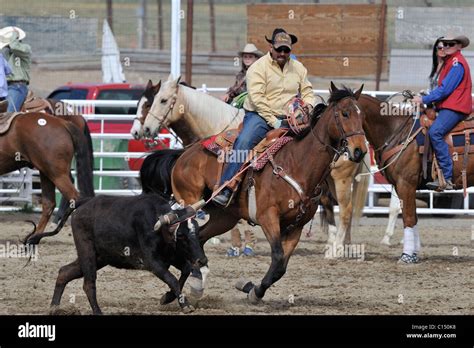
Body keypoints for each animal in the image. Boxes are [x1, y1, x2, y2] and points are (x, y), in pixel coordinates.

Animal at [0, 112, 95, 245]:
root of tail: (63, 123)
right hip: (46, 172)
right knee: (49, 204)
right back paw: (34, 239)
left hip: (56, 173)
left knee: (75, 198)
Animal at [141, 83, 366, 302]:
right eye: (345, 113)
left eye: (361, 115)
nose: (360, 151)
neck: (297, 163)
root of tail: (184, 154)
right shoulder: (268, 217)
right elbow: (277, 257)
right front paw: (253, 290)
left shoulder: (296, 227)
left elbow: (280, 267)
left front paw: (251, 288)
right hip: (189, 201)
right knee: (186, 234)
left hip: (224, 217)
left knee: (200, 238)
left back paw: (183, 289)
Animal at [360, 94, 474, 262]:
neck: (396, 132)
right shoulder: (401, 185)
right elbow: (410, 216)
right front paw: (412, 252)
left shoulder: (405, 184)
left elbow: (407, 217)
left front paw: (406, 255)